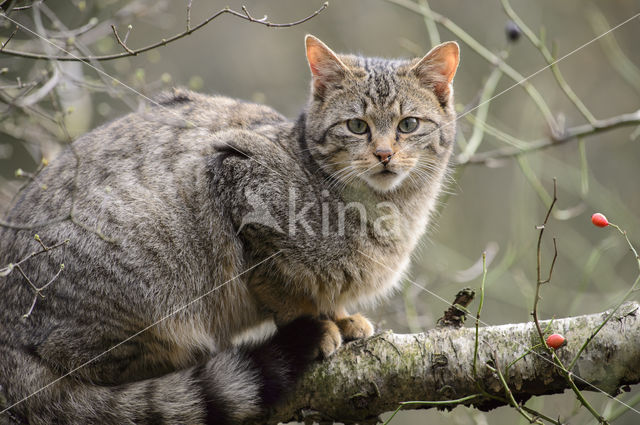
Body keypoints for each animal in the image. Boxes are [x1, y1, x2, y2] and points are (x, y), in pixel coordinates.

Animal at [0, 36, 460, 424]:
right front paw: (315, 325)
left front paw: (342, 318)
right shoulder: (238, 179)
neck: (385, 211)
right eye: (357, 126)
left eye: (408, 125)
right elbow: (283, 289)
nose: (384, 154)